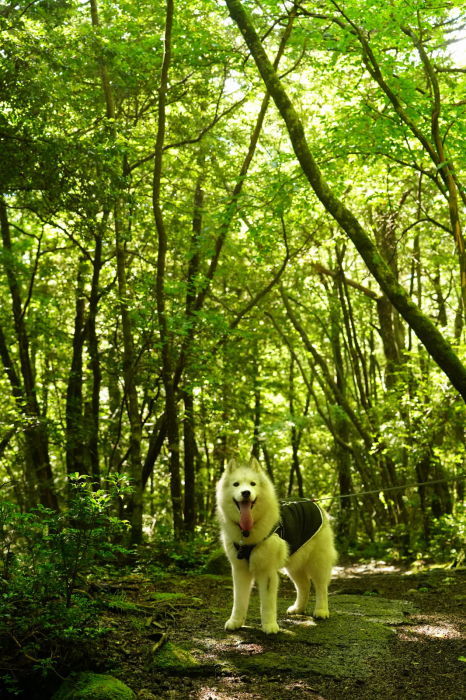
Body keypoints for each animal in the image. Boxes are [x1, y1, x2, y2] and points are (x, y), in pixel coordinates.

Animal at [217, 460, 336, 636]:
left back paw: (321, 611)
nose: (245, 493)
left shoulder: (267, 572)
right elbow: (238, 600)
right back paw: (298, 608)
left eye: (253, 484)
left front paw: (269, 626)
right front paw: (236, 621)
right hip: (294, 565)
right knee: (304, 585)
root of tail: (313, 503)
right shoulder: (239, 570)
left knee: (321, 587)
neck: (248, 531)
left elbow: (267, 604)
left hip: (318, 563)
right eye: (236, 484)